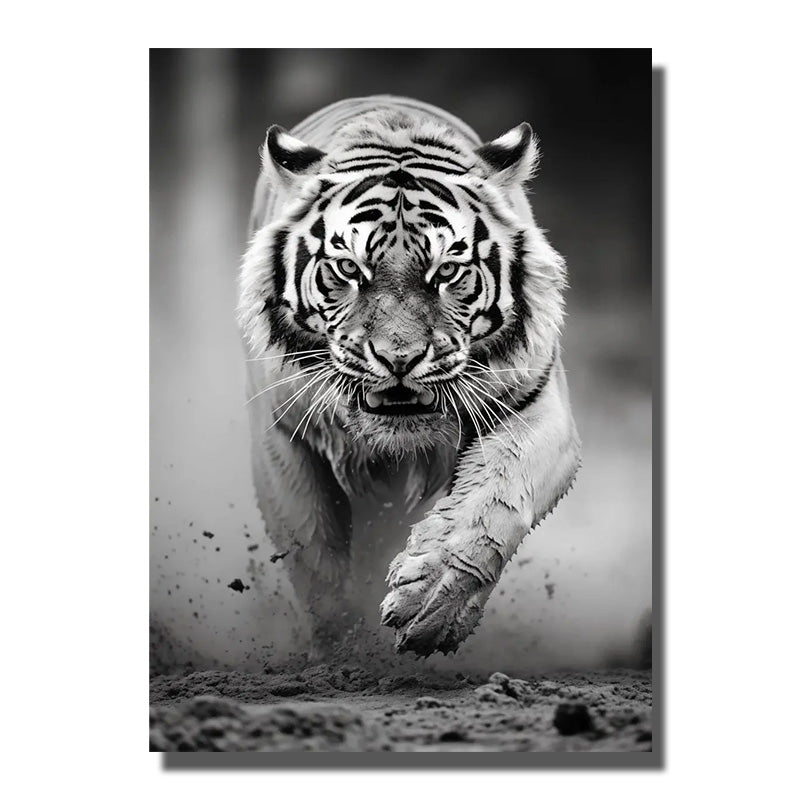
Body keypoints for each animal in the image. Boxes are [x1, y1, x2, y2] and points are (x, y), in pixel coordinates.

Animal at [238, 95, 581, 657]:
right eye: (349, 269)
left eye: (447, 272)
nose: (399, 359)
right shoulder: (282, 431)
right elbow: (315, 553)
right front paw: (342, 652)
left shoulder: (537, 406)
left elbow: (493, 503)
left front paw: (433, 603)